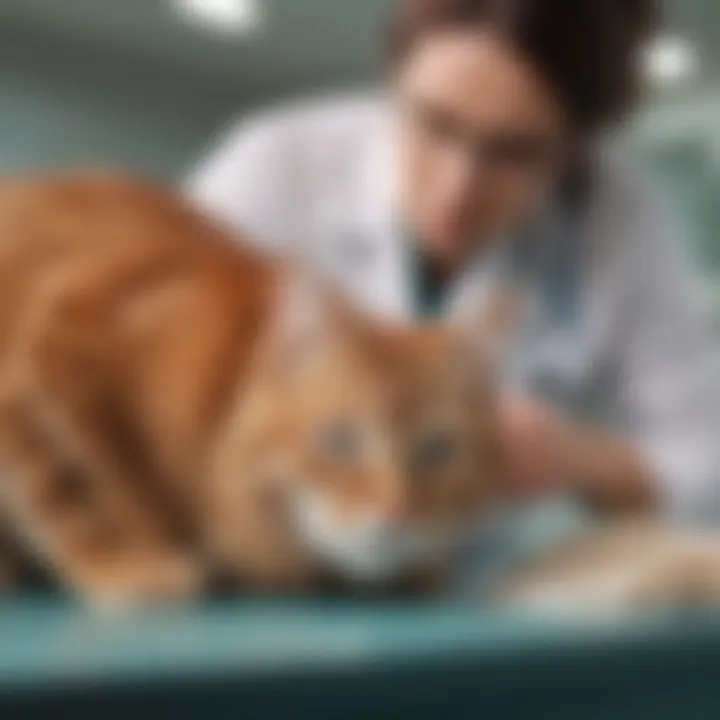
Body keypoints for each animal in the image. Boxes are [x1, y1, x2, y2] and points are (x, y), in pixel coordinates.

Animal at [0, 172, 504, 604]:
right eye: (339, 440)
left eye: (437, 450)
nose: (396, 515)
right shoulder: (41, 366)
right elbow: (74, 493)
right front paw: (128, 565)